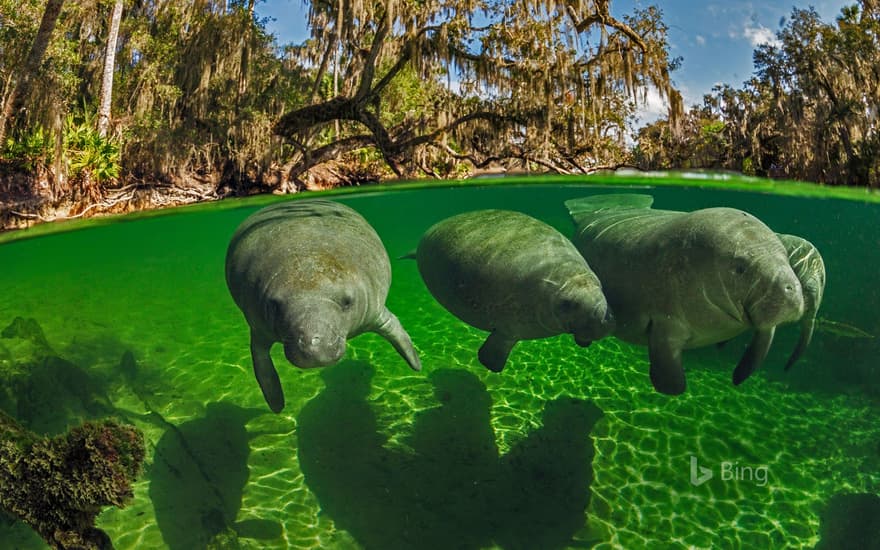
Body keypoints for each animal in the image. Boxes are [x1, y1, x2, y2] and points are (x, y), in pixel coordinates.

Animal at [225, 199, 422, 414]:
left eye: (347, 302)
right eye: (275, 305)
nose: (314, 345)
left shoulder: (375, 310)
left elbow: (396, 332)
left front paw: (417, 365)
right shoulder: (258, 326)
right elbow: (262, 366)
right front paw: (277, 406)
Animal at [410, 209, 612, 374]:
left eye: (600, 286)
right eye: (567, 304)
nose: (603, 317)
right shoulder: (508, 327)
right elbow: (496, 349)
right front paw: (491, 366)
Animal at [564, 196, 804, 394]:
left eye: (786, 256)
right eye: (740, 268)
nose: (791, 288)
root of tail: (598, 210)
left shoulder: (763, 321)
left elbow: (761, 344)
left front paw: (738, 377)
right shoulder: (665, 320)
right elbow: (670, 374)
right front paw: (672, 389)